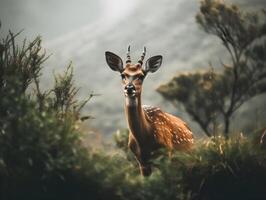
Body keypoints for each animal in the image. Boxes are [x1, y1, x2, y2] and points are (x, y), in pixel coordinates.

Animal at [105, 46, 194, 176]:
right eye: (122, 75)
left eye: (141, 76)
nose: (129, 88)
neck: (144, 140)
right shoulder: (141, 162)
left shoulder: (167, 153)